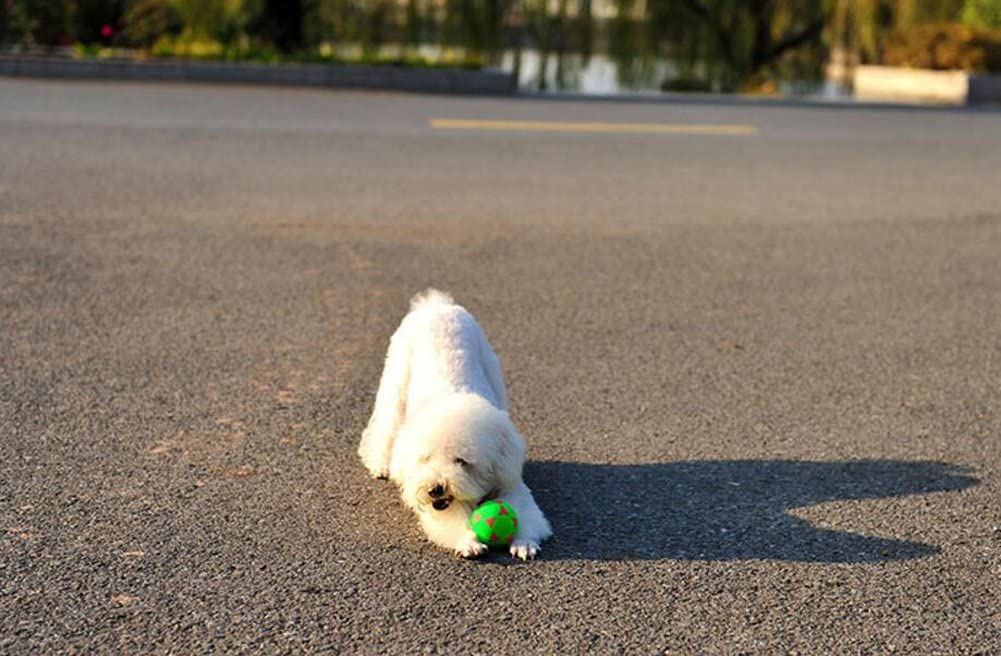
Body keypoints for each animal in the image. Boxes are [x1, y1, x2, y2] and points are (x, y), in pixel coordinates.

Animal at [358, 290, 552, 560]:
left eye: (462, 461)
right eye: (426, 459)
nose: (435, 489)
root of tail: (436, 306)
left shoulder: (511, 481)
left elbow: (527, 513)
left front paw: (524, 542)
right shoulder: (441, 508)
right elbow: (450, 519)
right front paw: (468, 541)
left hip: (493, 372)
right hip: (395, 380)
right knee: (386, 425)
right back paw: (381, 465)